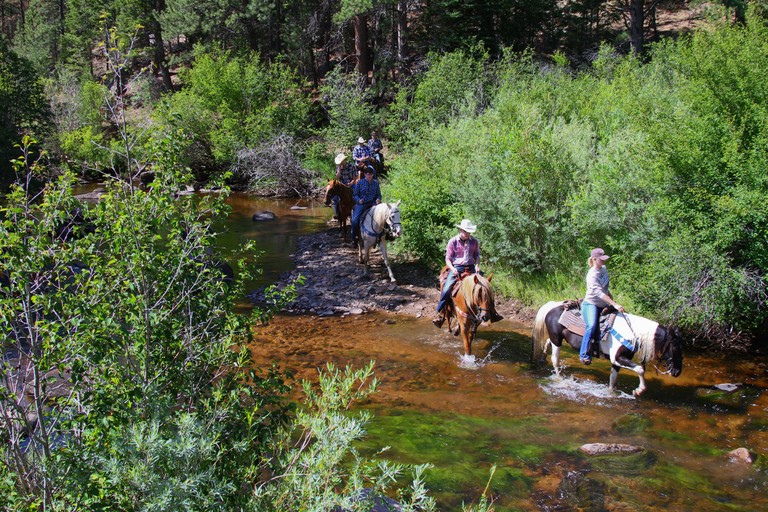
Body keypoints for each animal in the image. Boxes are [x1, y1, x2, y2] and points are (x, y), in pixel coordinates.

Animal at [528, 302, 684, 398]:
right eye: (675, 347)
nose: (677, 372)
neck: (632, 333)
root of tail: (552, 306)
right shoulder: (618, 358)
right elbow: (640, 369)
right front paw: (639, 391)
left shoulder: (617, 361)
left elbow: (613, 380)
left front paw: (611, 393)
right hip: (557, 340)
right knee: (555, 359)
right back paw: (559, 378)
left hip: (557, 339)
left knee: (547, 343)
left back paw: (542, 359)